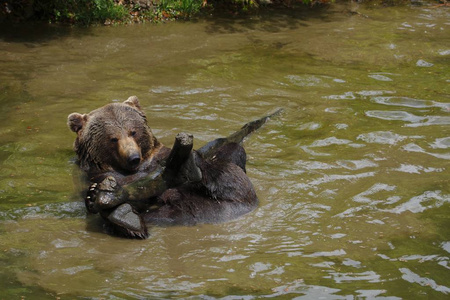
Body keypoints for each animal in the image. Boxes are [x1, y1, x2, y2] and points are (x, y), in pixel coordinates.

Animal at [67, 96, 278, 239]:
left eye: (133, 131)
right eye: (113, 138)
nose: (133, 157)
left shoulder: (160, 156)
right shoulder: (91, 174)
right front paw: (98, 192)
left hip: (236, 191)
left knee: (230, 162)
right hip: (172, 213)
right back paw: (124, 216)